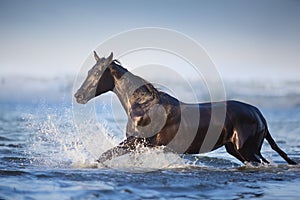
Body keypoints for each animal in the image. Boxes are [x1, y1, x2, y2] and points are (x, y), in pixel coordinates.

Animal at [74, 51, 296, 166]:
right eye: (90, 71)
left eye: (97, 73)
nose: (78, 96)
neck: (144, 105)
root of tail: (259, 114)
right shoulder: (138, 146)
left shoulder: (135, 142)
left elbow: (105, 155)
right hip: (238, 150)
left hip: (247, 151)